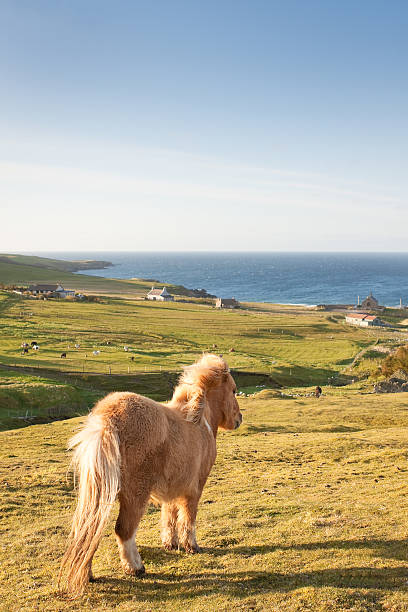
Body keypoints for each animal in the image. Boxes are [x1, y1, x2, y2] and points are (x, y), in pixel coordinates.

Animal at [59, 354, 241, 596]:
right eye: (233, 390)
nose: (239, 418)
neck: (199, 421)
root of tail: (108, 418)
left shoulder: (173, 488)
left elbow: (169, 515)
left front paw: (171, 544)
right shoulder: (194, 488)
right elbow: (188, 518)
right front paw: (191, 546)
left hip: (99, 492)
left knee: (88, 528)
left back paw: (88, 574)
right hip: (135, 495)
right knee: (124, 530)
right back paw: (135, 568)